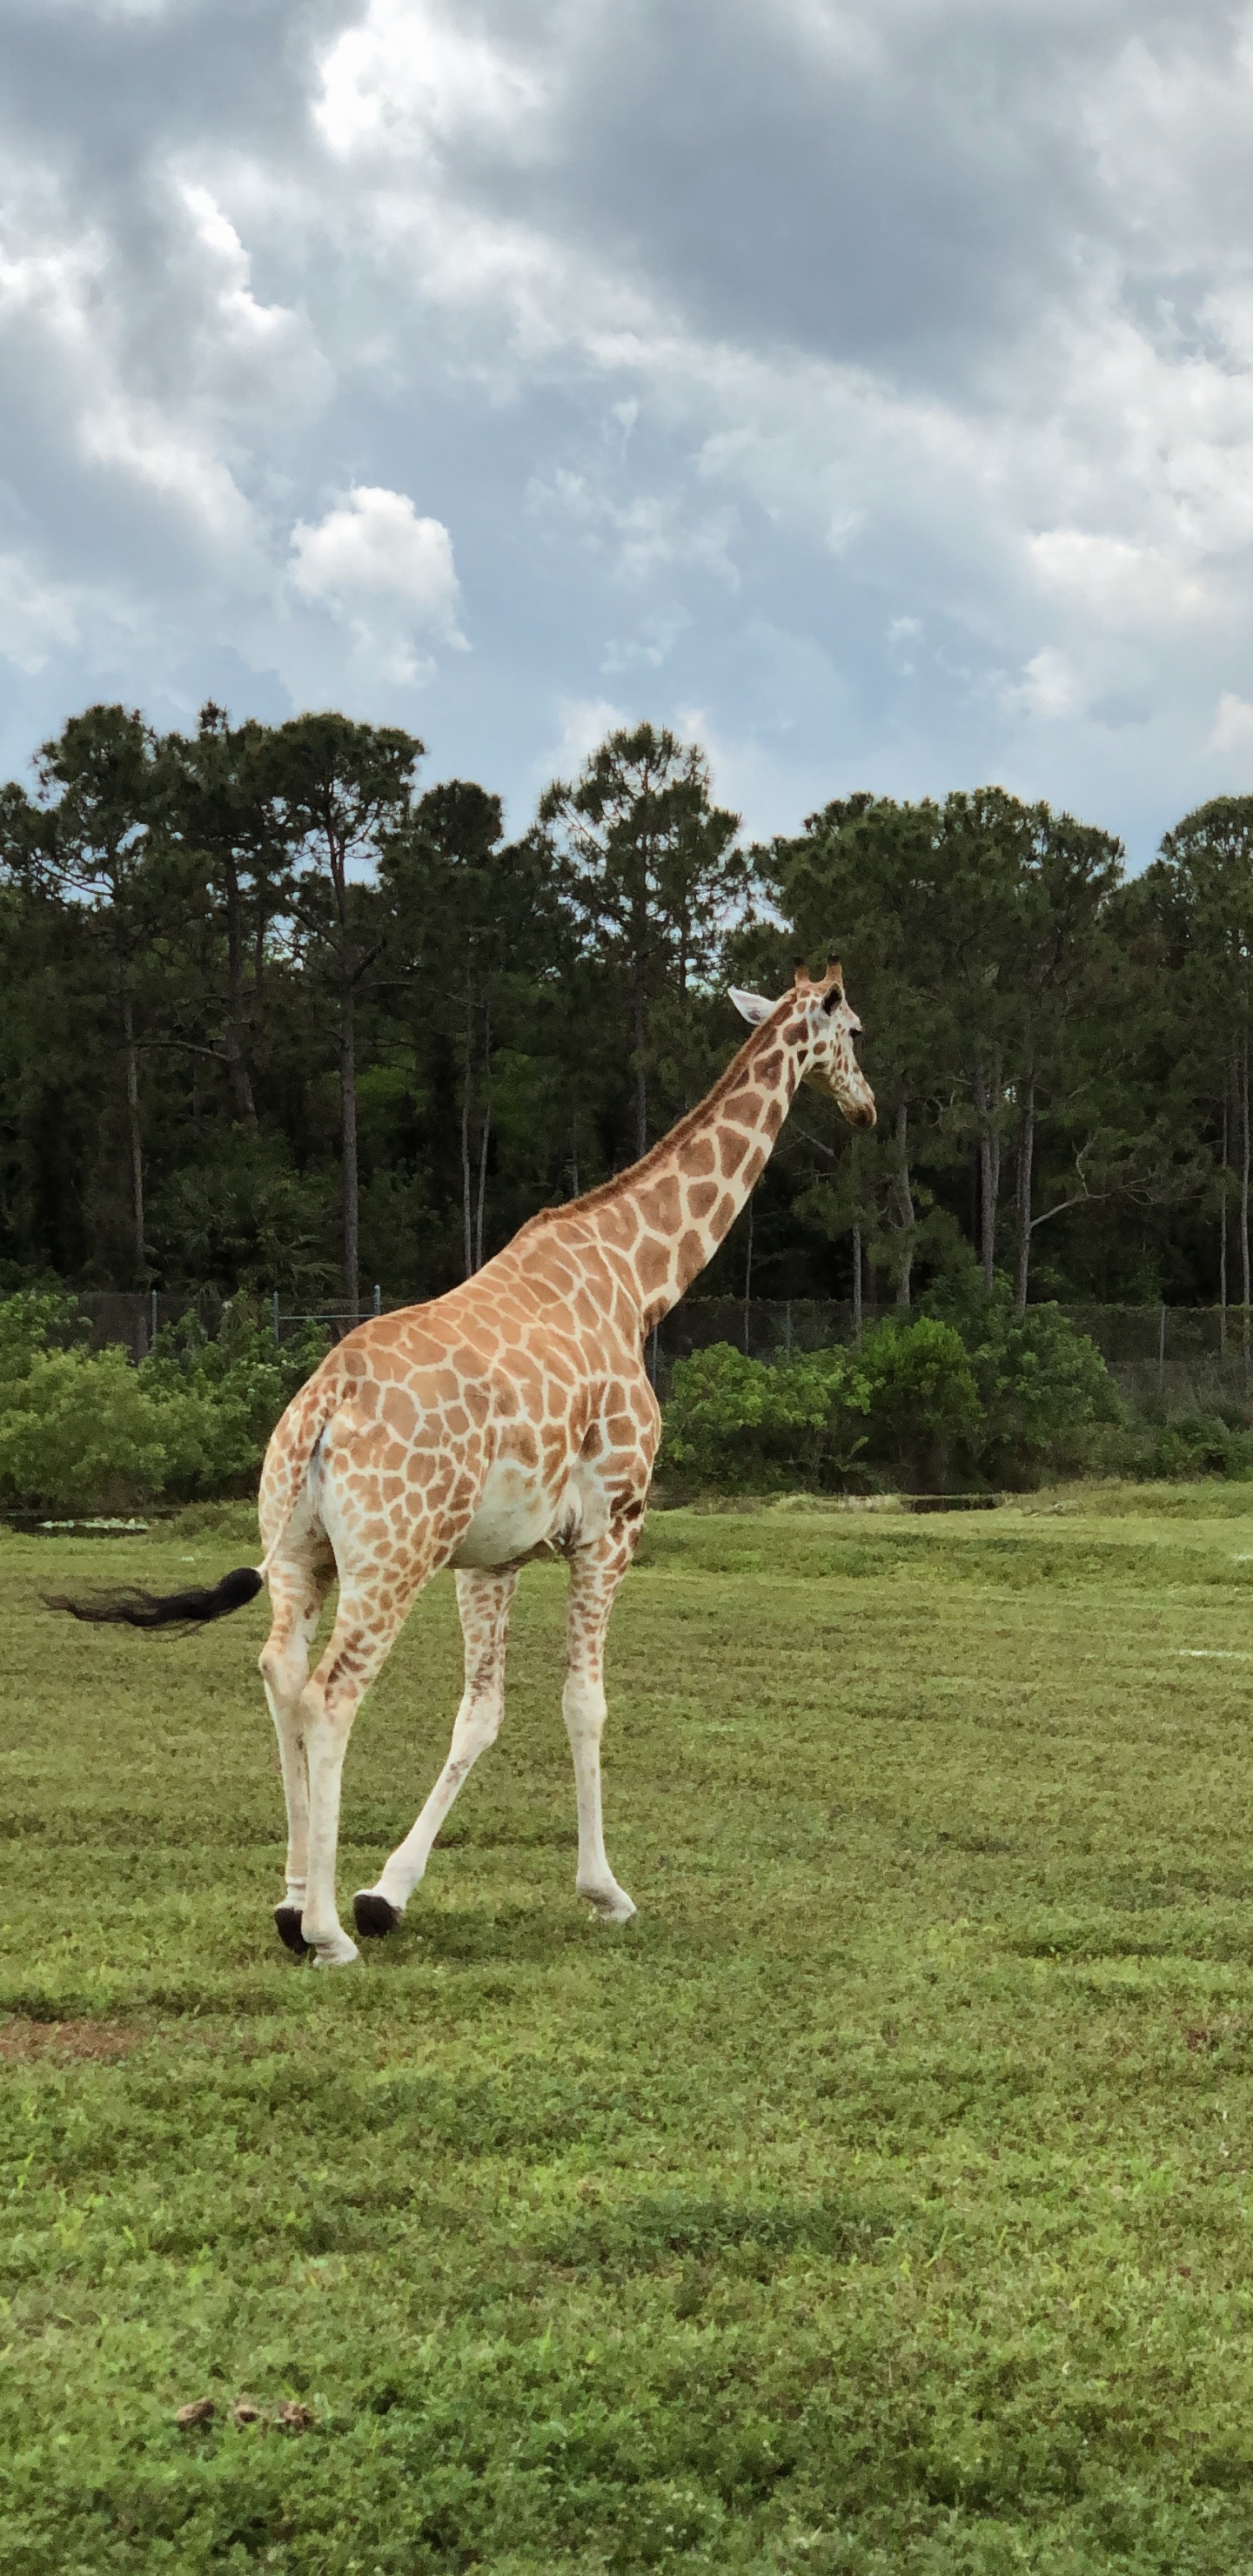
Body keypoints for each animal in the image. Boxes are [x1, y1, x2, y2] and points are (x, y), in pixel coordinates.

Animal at [55, 958, 874, 1965]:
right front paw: (604, 1891)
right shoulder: (613, 1524)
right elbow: (583, 1702)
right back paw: (327, 1933)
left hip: (302, 1549)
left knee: (280, 1673)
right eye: (857, 1032)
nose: (867, 1108)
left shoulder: (493, 1555)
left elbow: (480, 1711)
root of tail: (323, 1408)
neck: (639, 1283)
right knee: (330, 1694)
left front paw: (387, 1890)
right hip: (393, 1555)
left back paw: (293, 1902)